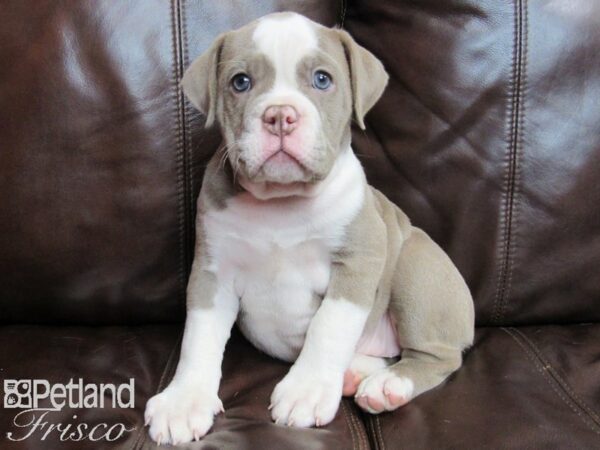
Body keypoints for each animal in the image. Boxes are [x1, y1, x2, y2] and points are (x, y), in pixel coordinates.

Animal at [144, 12, 474, 444]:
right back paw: (358, 373)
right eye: (240, 82)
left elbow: (328, 328)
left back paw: (389, 385)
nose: (280, 115)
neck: (281, 203)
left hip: (416, 269)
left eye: (322, 79)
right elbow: (198, 338)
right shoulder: (212, 272)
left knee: (436, 356)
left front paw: (306, 391)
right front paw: (184, 401)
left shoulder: (357, 263)